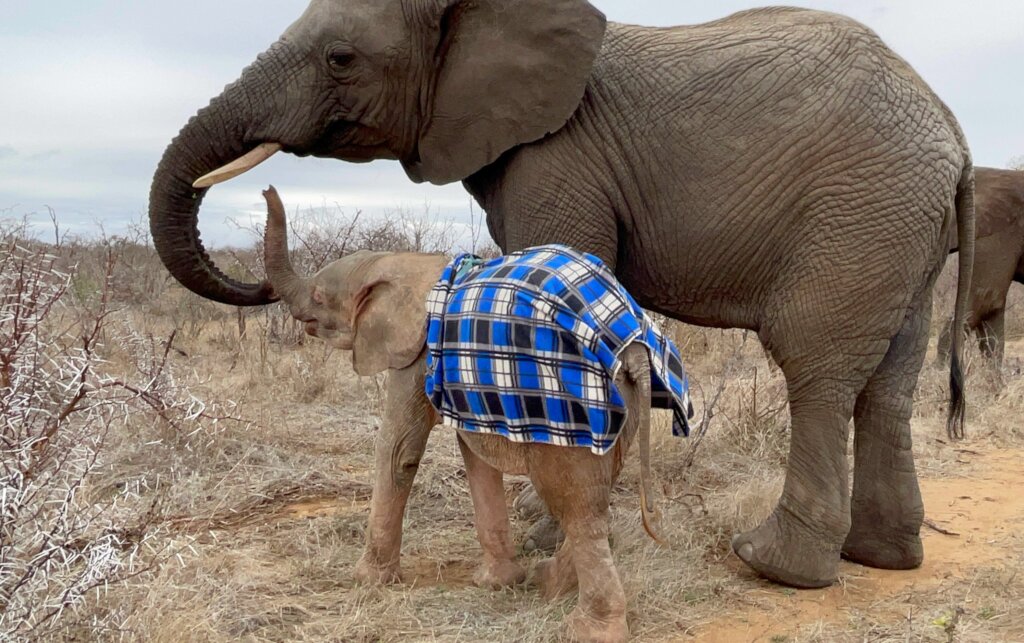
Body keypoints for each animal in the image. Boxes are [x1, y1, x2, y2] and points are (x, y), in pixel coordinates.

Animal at [149, 1, 976, 589]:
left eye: (340, 58)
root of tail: (954, 132)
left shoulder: (559, 154)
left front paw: (551, 534)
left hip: (861, 211)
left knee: (817, 369)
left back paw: (773, 565)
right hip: (901, 225)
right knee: (890, 381)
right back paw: (880, 558)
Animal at [260, 186, 679, 641]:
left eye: (320, 297)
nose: (267, 189)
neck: (409, 263)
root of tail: (633, 345)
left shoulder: (417, 352)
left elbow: (399, 451)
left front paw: (368, 581)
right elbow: (475, 456)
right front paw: (498, 583)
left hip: (574, 403)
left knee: (578, 506)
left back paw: (588, 627)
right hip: (624, 404)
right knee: (595, 497)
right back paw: (548, 582)